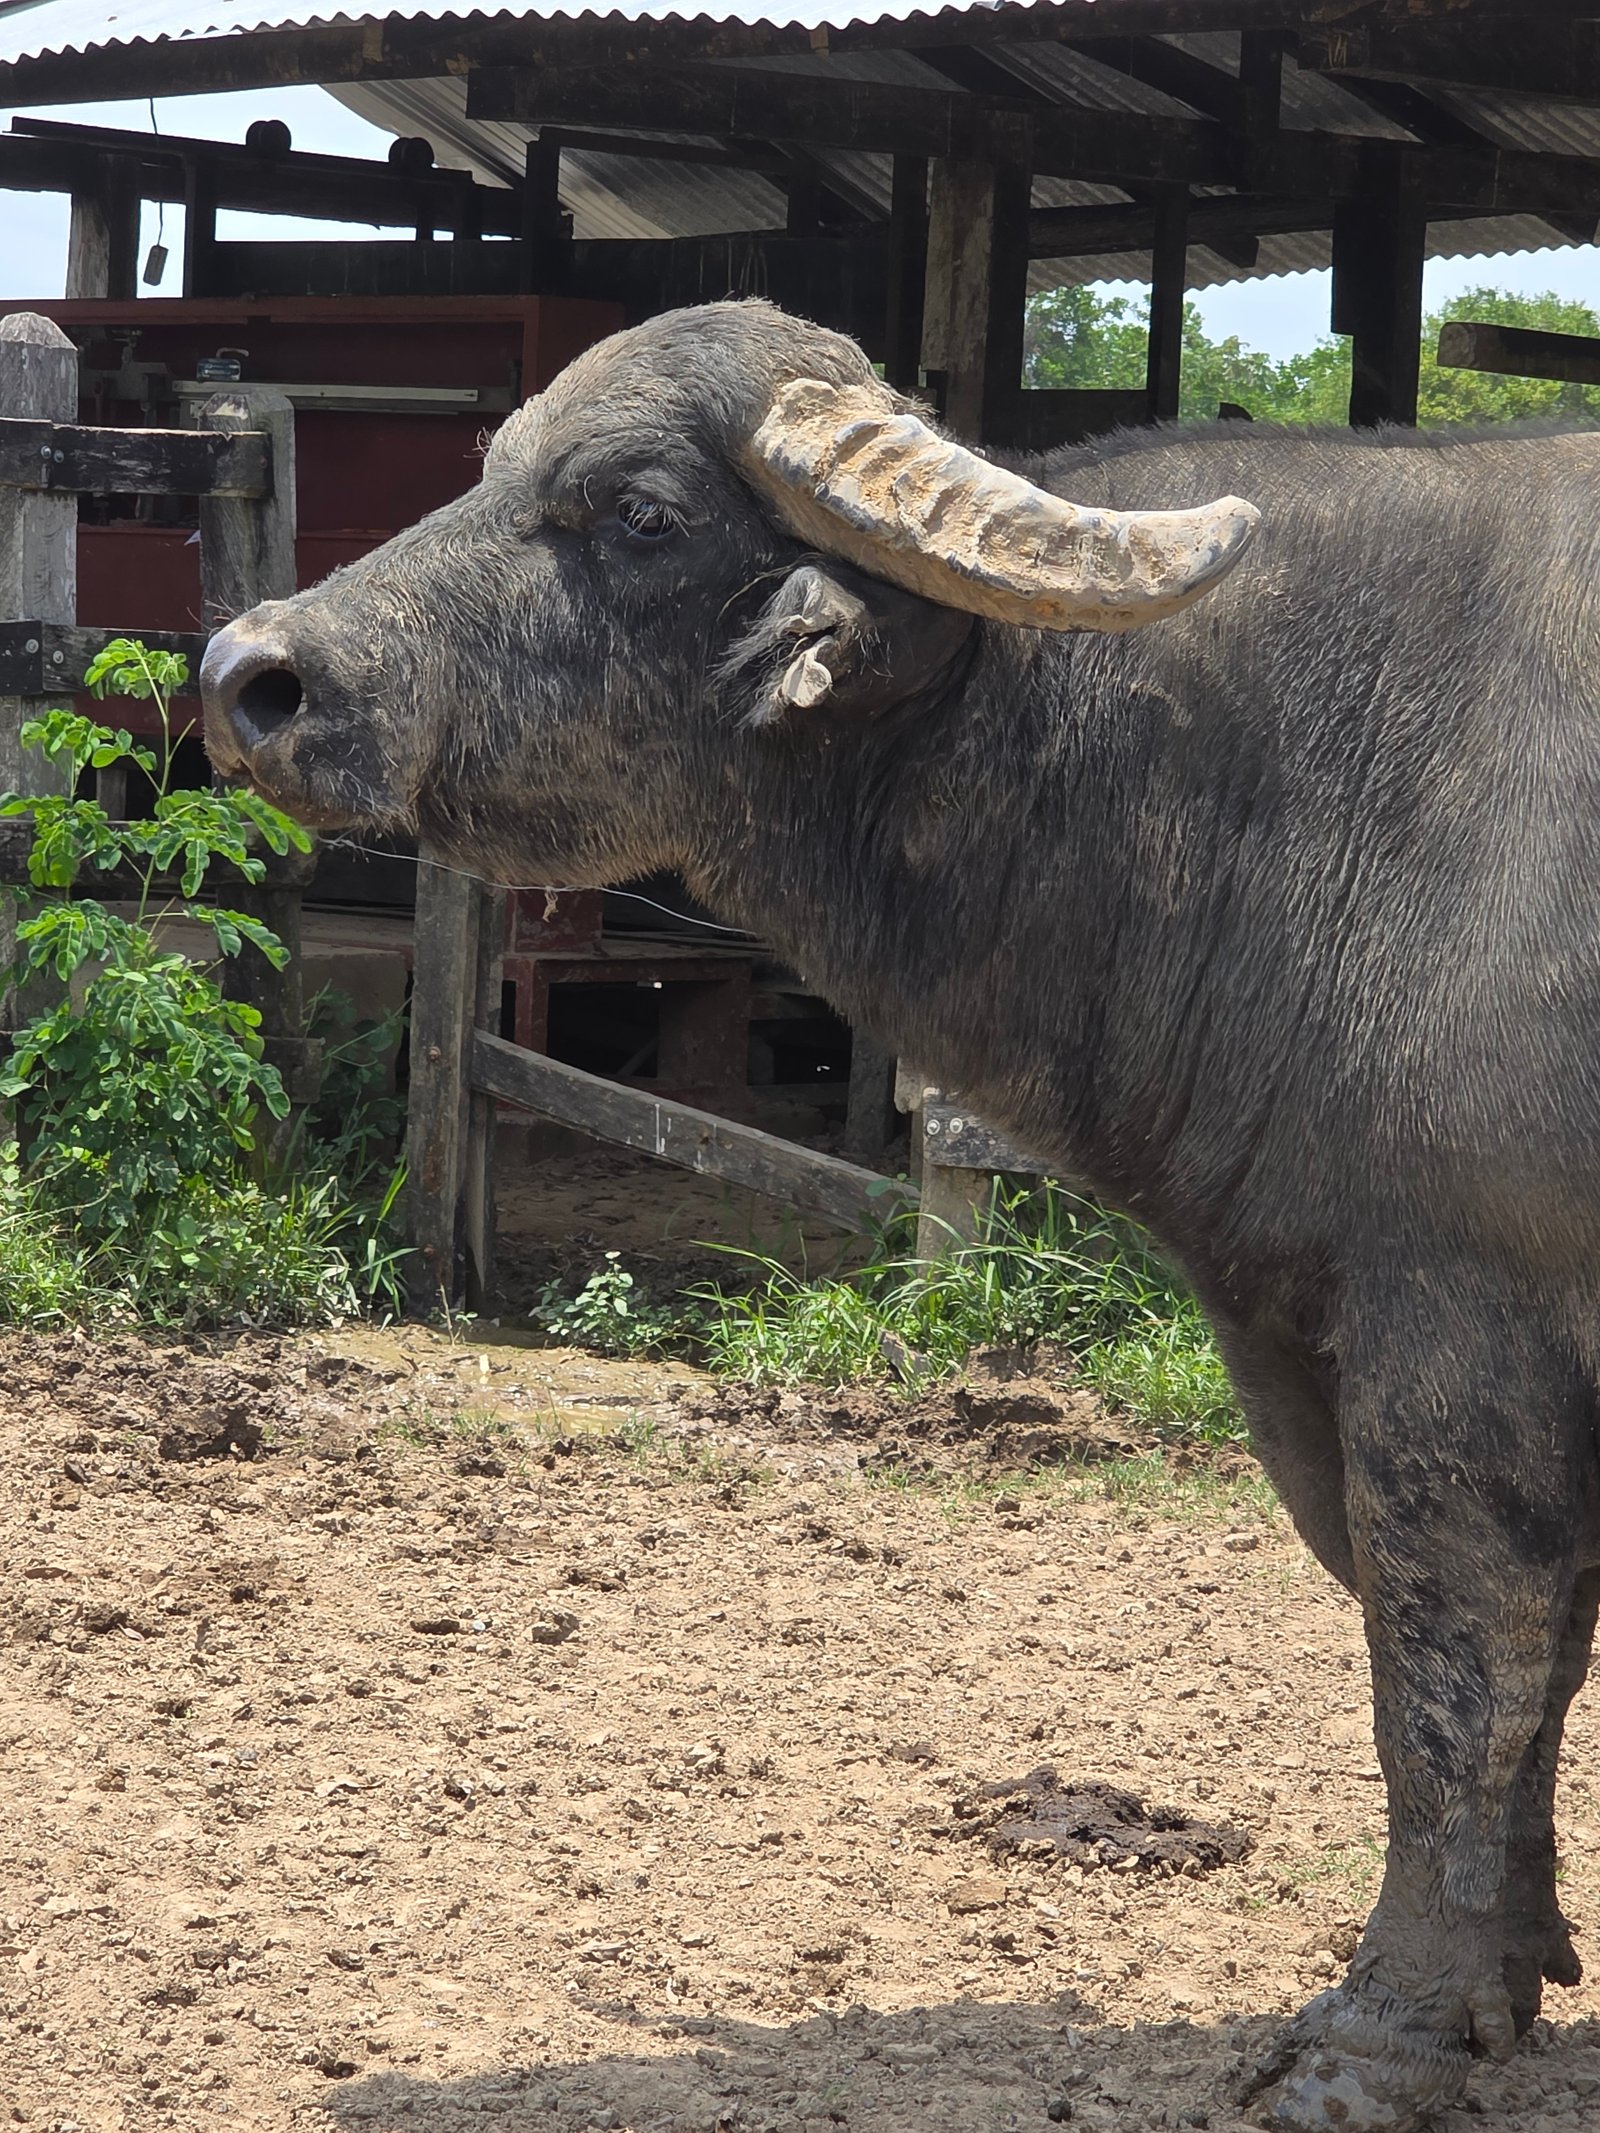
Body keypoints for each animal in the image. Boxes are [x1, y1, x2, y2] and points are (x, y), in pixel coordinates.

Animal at [202, 299, 1600, 2132]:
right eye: (493, 462)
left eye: (638, 510)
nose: (251, 676)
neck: (1309, 775)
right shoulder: (1306, 1317)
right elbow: (1511, 1657)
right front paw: (1516, 1967)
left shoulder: (1462, 1314)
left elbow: (1457, 1669)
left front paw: (1391, 2027)